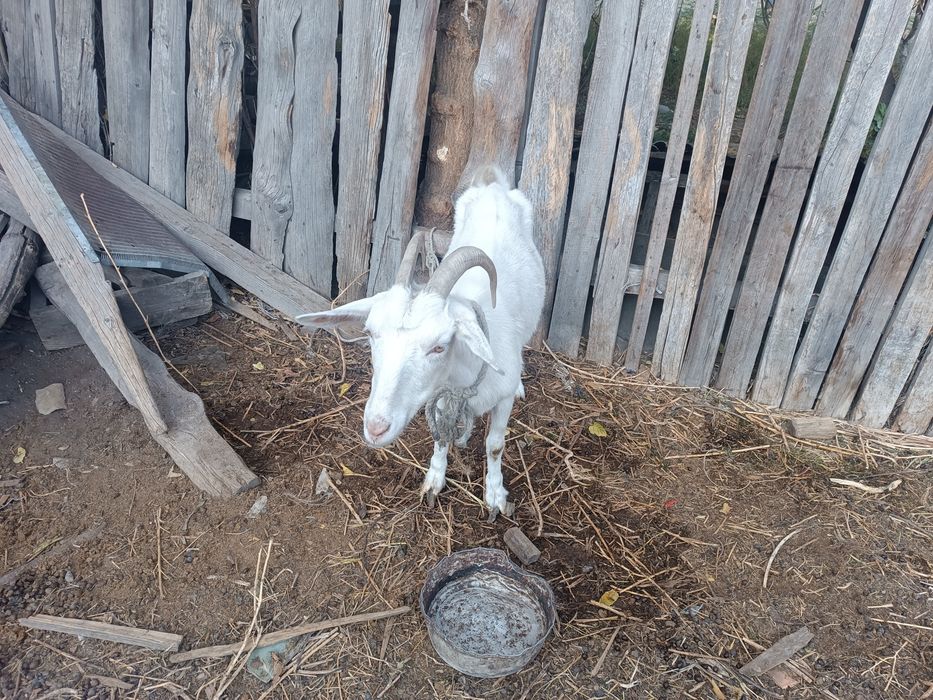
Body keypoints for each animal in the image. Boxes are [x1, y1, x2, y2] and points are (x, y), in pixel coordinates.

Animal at [297, 165, 545, 518]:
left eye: (439, 345)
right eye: (370, 333)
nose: (376, 428)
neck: (464, 375)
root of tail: (492, 185)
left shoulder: (502, 398)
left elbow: (495, 445)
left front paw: (495, 496)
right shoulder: (438, 395)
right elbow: (440, 437)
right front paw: (434, 481)